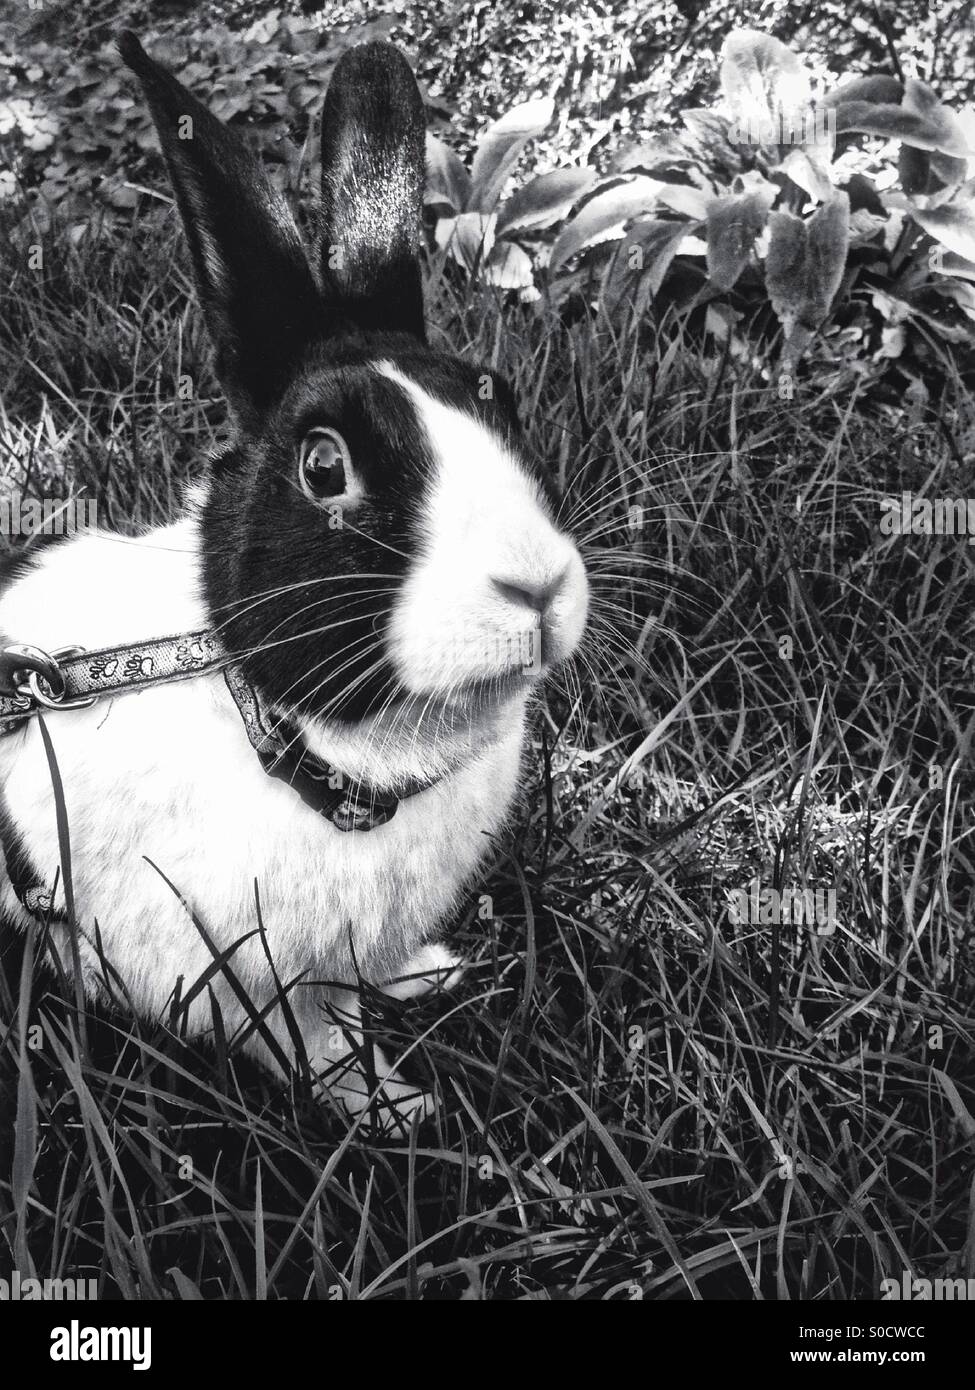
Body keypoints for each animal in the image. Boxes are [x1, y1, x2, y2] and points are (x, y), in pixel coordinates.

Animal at [0, 34, 589, 1125]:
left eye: (500, 398)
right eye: (324, 466)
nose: (535, 587)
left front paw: (430, 972)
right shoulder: (248, 984)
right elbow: (319, 1048)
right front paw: (395, 1111)